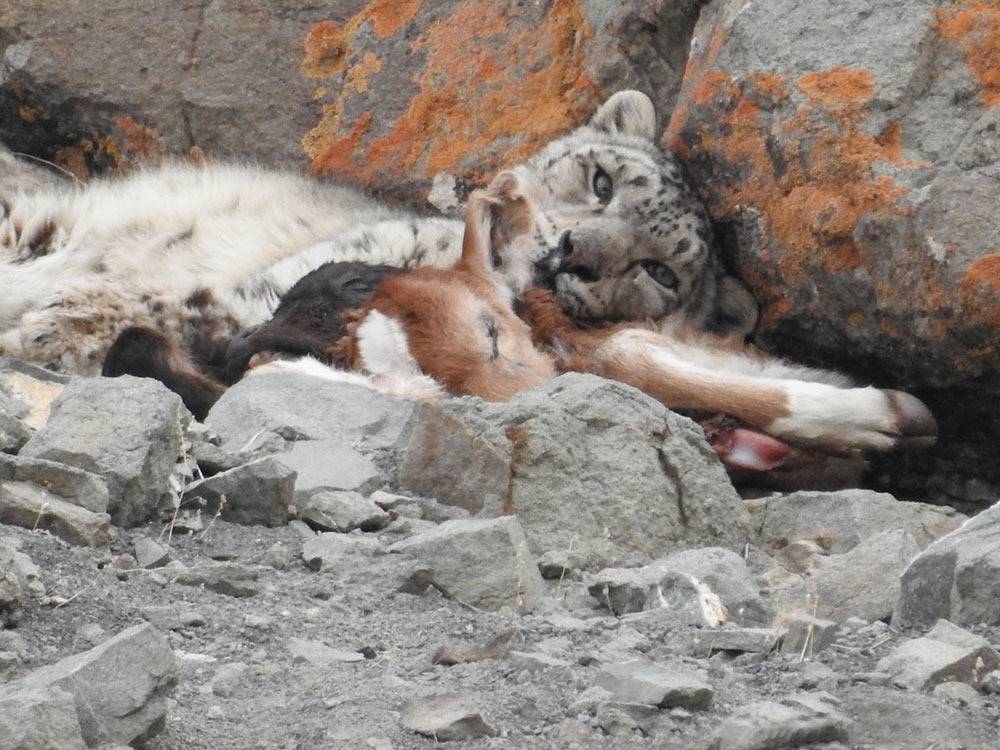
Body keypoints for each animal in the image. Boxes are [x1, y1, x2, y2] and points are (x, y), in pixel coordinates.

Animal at [0, 91, 754, 377]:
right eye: (602, 181)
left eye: (661, 272)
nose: (572, 253)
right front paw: (54, 320)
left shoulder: (265, 301)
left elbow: (176, 305)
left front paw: (52, 327)